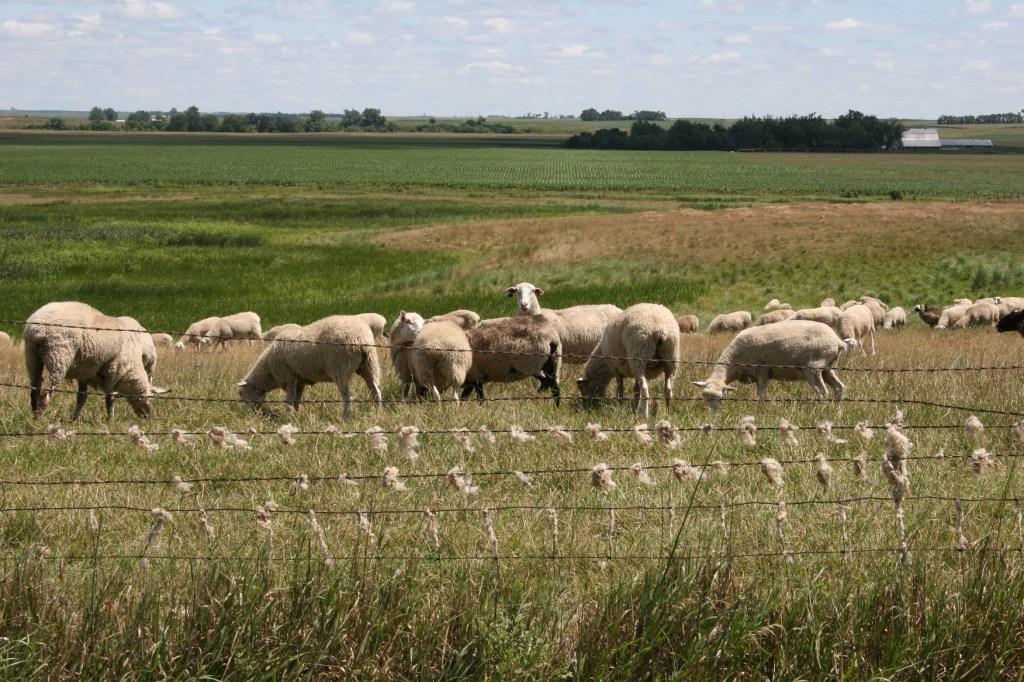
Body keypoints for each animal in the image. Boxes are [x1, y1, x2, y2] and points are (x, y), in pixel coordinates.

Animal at [24, 301, 169, 420]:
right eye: (150, 398)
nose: (147, 418)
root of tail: (38, 329)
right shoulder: (114, 371)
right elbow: (109, 398)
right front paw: (111, 420)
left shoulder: (85, 374)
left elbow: (82, 397)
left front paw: (75, 419)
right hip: (59, 356)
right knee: (45, 393)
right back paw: (40, 418)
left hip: (32, 357)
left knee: (34, 391)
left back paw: (34, 416)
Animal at [237, 315, 381, 418]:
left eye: (241, 394)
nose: (255, 413)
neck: (269, 370)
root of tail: (360, 339)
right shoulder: (299, 380)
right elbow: (297, 400)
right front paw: (296, 415)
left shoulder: (289, 378)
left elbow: (289, 400)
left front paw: (288, 416)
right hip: (369, 363)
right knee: (376, 391)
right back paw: (377, 414)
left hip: (340, 367)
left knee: (348, 397)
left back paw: (345, 418)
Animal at [693, 320, 847, 408]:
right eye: (705, 397)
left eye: (720, 398)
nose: (712, 416)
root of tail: (837, 340)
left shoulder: (762, 371)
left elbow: (761, 395)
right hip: (827, 367)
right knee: (839, 387)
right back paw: (835, 410)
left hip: (813, 367)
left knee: (822, 392)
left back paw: (818, 411)